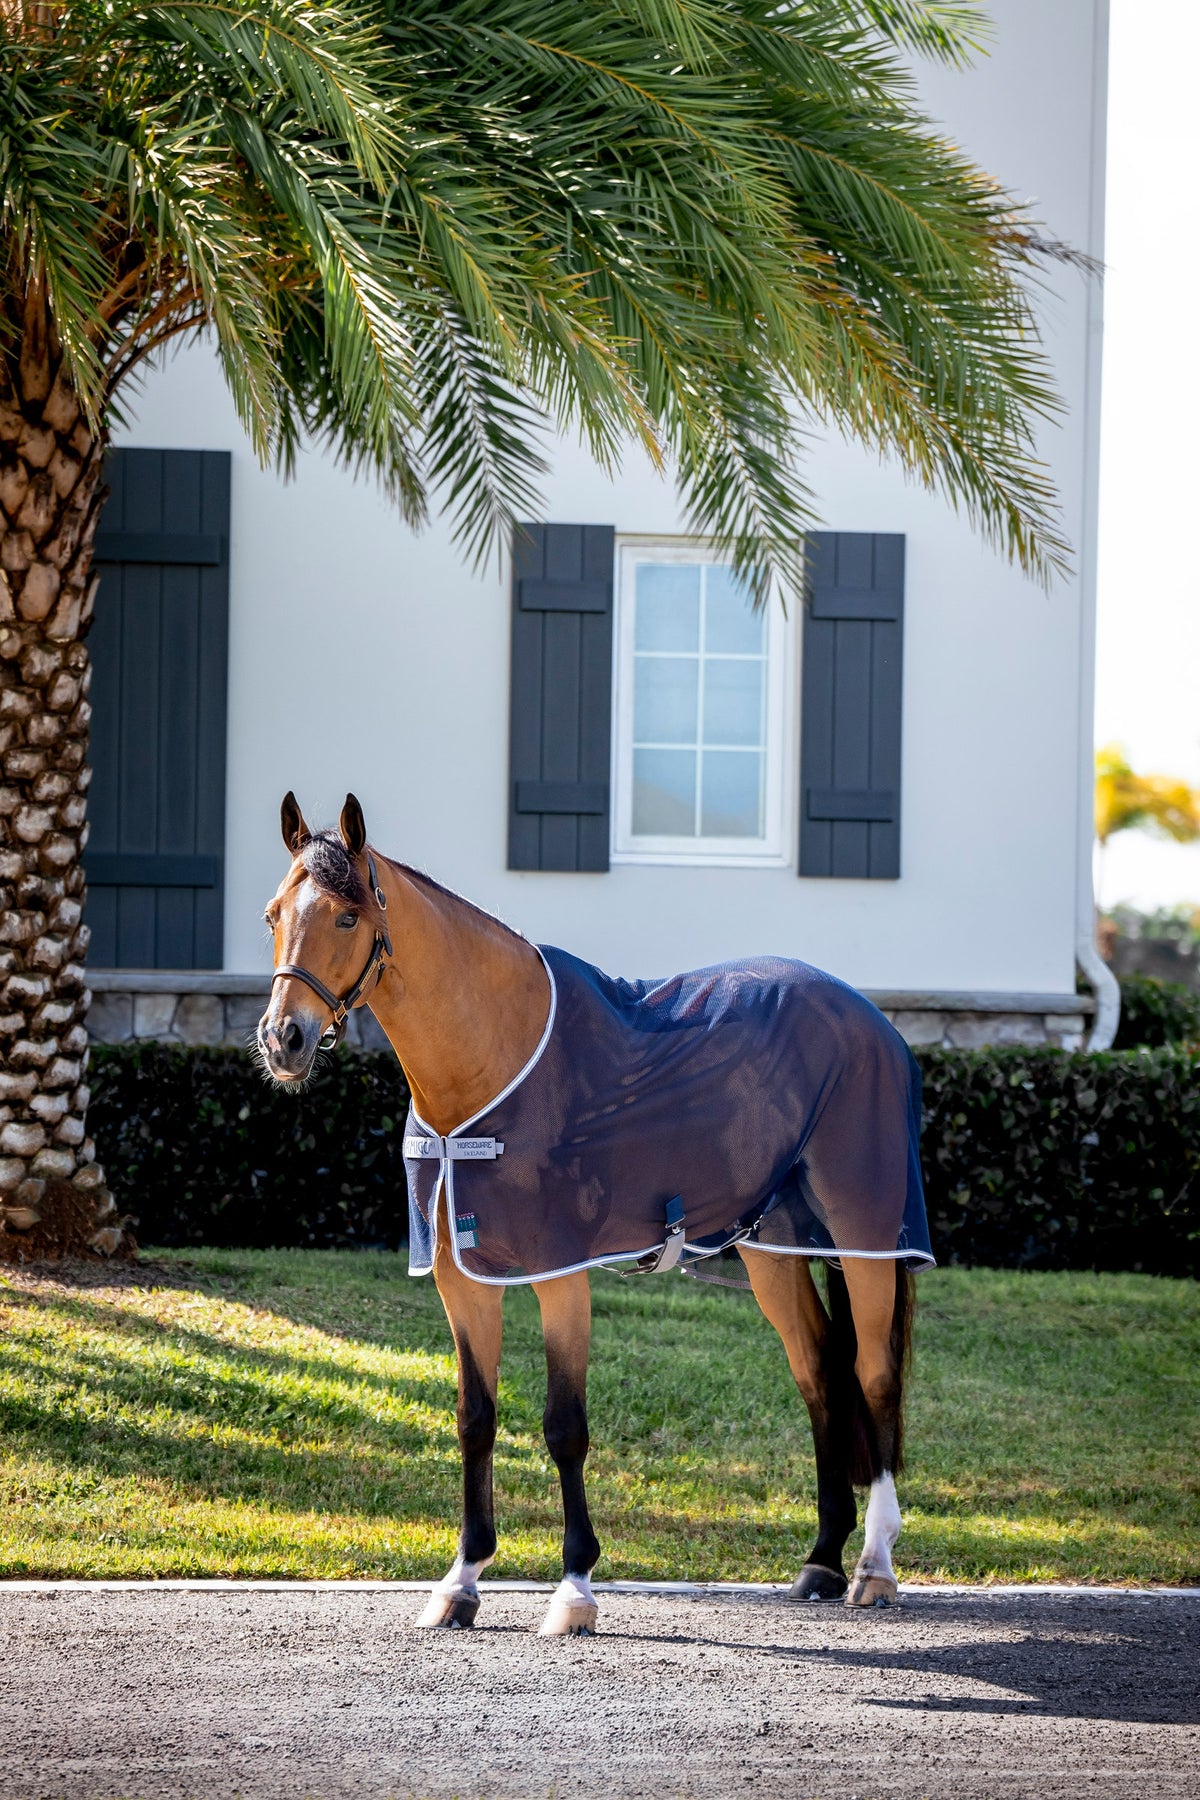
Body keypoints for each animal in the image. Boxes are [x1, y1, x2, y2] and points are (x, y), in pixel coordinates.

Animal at [257, 792, 929, 1636]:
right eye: (273, 914)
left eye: (348, 916)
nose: (283, 1039)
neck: (497, 1060)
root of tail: (872, 1021)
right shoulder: (460, 1280)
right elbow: (475, 1419)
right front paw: (462, 1579)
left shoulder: (560, 1272)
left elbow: (563, 1425)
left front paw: (575, 1587)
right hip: (772, 1251)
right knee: (818, 1375)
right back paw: (820, 1560)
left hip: (867, 1237)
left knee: (872, 1376)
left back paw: (873, 1566)